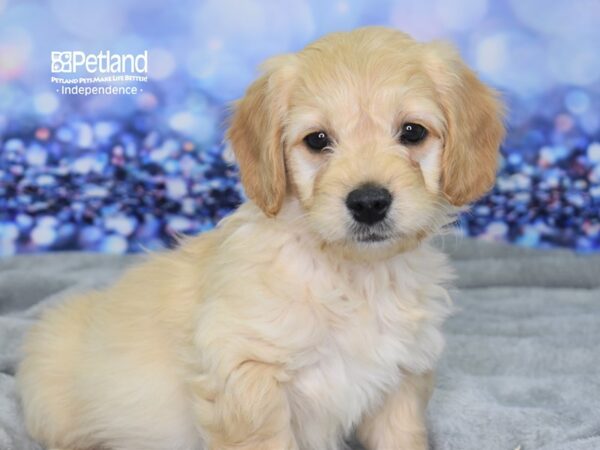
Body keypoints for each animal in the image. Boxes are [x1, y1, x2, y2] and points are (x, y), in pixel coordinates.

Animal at [17, 26, 502, 448]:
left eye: (412, 132)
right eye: (317, 140)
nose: (368, 203)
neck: (351, 277)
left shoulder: (401, 380)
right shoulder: (244, 374)